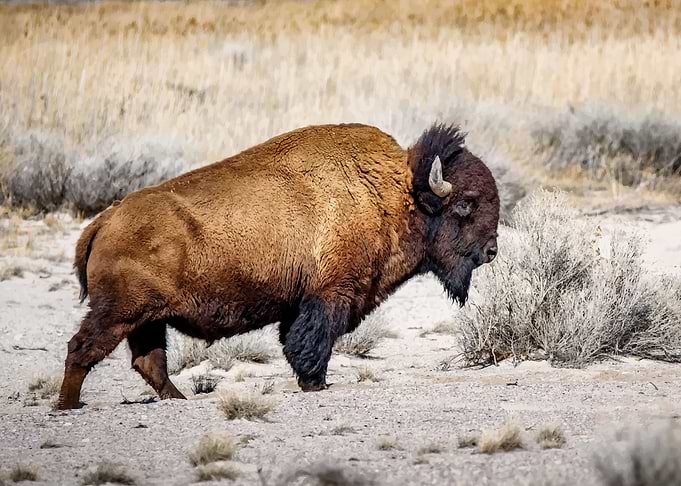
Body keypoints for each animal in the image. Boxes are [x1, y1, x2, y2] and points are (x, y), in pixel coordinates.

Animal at [57, 122, 499, 410]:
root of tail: (104, 220)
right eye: (465, 204)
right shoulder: (331, 294)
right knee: (82, 349)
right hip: (119, 312)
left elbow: (297, 342)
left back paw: (175, 400)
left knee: (148, 361)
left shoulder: (301, 304)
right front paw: (315, 384)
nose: (492, 250)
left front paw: (311, 381)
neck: (392, 192)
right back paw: (68, 406)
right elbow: (313, 341)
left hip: (148, 318)